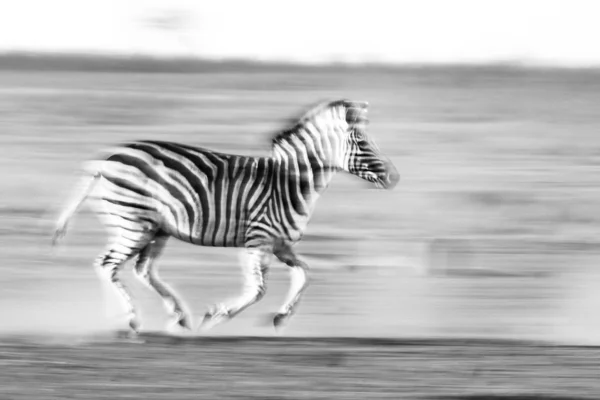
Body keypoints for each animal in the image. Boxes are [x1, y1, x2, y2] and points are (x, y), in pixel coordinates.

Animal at [51, 98, 398, 332]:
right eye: (363, 143)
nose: (395, 177)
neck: (289, 182)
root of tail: (106, 160)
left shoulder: (279, 243)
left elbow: (305, 274)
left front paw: (281, 316)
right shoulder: (258, 239)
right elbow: (257, 290)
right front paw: (216, 316)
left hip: (156, 228)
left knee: (142, 270)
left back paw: (176, 315)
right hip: (133, 224)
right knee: (107, 265)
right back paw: (130, 318)